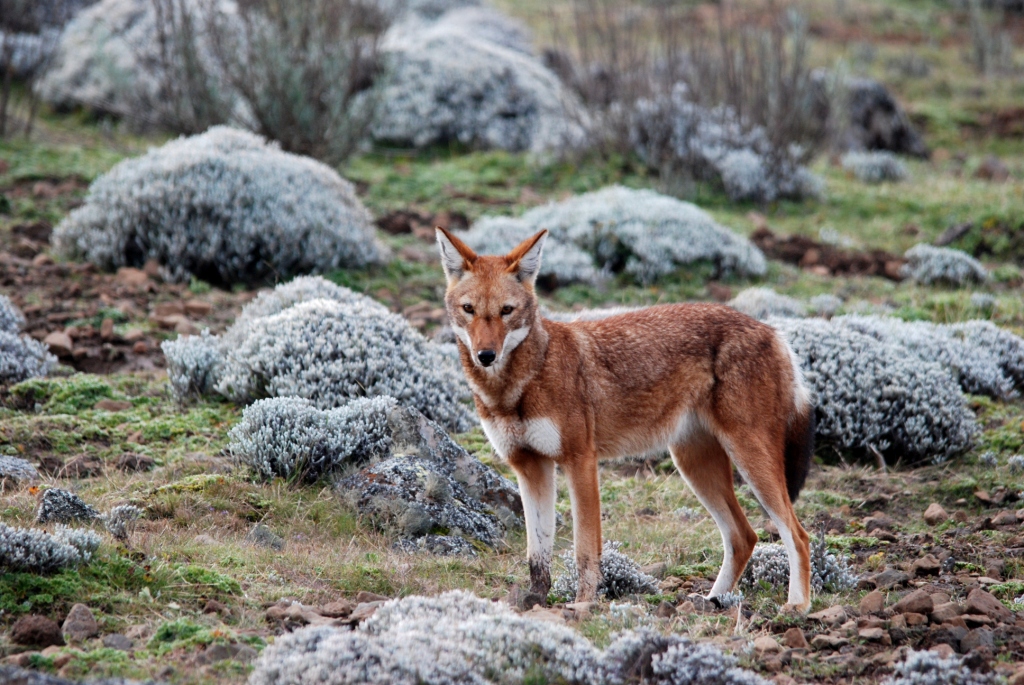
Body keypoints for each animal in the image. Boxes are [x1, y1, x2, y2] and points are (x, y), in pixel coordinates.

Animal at [435, 227, 815, 612]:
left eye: (506, 311)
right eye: (469, 310)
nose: (486, 355)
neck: (519, 384)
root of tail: (773, 331)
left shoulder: (580, 461)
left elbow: (585, 552)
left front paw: (582, 605)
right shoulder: (530, 467)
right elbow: (537, 555)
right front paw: (534, 601)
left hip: (749, 461)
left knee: (798, 535)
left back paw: (796, 607)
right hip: (694, 465)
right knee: (744, 536)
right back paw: (713, 600)